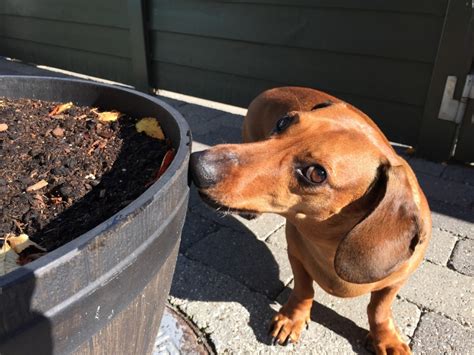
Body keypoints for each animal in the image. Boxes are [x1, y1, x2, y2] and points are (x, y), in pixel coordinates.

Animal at [189, 87, 430, 355]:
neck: (330, 241)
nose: (196, 164)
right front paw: (292, 318)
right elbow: (304, 289)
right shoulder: (296, 254)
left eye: (316, 174)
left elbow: (379, 308)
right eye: (283, 122)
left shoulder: (396, 281)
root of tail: (271, 89)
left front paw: (386, 338)